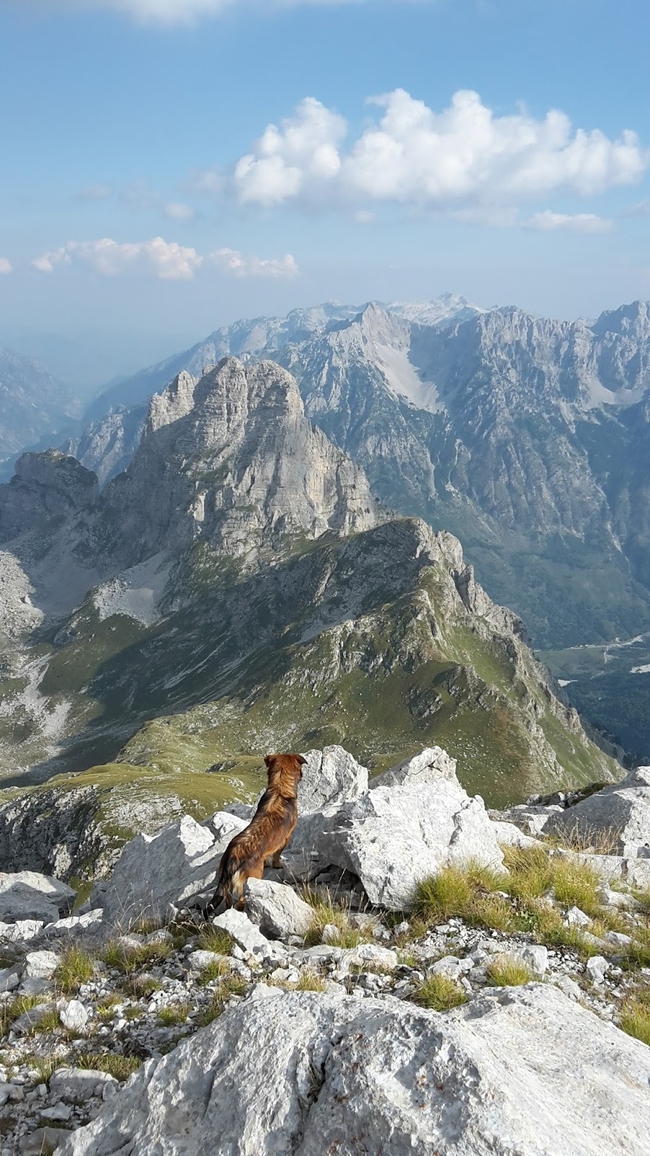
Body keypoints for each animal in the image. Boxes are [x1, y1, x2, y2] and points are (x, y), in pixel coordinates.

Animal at [205, 753, 305, 915]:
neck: (279, 789)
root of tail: (233, 855)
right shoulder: (286, 837)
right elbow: (277, 854)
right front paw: (278, 864)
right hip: (251, 877)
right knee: (241, 898)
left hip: (226, 883)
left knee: (228, 899)